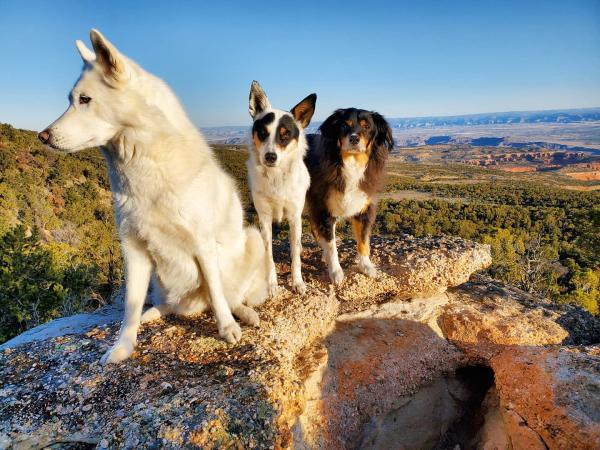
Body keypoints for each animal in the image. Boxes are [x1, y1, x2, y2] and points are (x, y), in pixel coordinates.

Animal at [38, 29, 268, 364]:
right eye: (70, 100)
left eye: (85, 99)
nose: (42, 136)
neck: (142, 164)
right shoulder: (133, 250)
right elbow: (129, 307)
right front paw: (122, 346)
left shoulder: (202, 244)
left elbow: (216, 291)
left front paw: (226, 328)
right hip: (162, 284)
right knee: (171, 304)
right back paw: (154, 313)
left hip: (252, 239)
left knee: (228, 296)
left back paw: (244, 314)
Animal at [304, 108, 394, 284]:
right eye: (345, 125)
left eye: (367, 126)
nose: (354, 138)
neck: (351, 163)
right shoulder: (325, 210)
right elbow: (331, 245)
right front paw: (336, 273)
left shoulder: (364, 208)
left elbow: (363, 240)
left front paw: (366, 267)